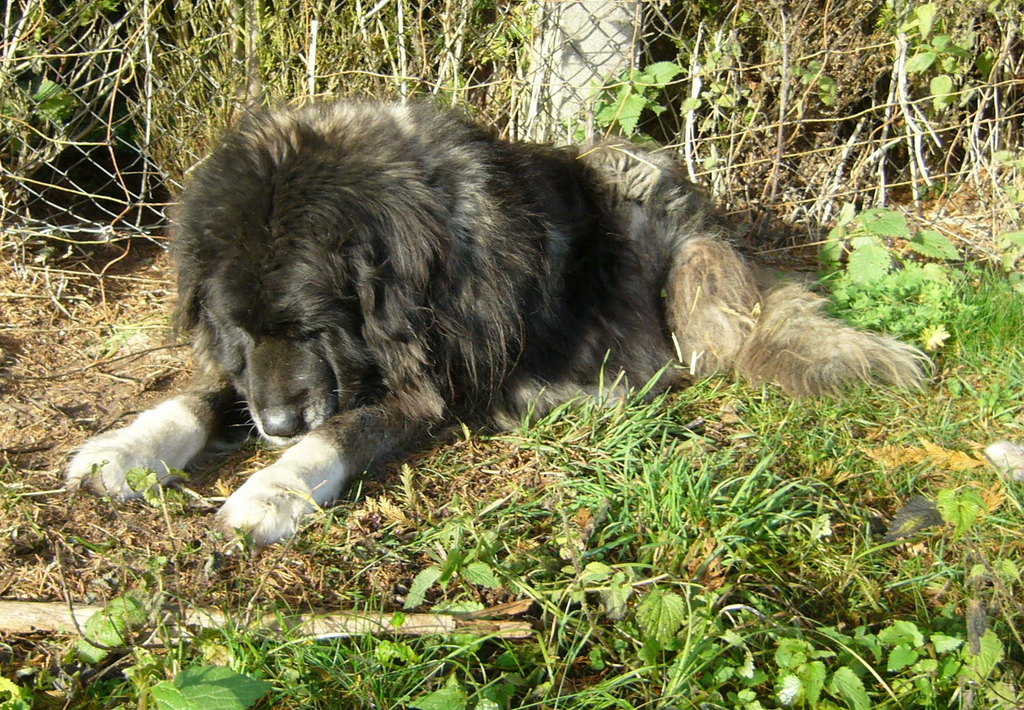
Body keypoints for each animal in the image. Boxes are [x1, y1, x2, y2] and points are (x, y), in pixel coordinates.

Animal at [66, 100, 927, 545]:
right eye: (239, 328)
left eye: (313, 325)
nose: (276, 426)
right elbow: (205, 395)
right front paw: (126, 448)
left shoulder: (431, 383)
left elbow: (342, 429)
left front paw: (273, 490)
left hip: (635, 184)